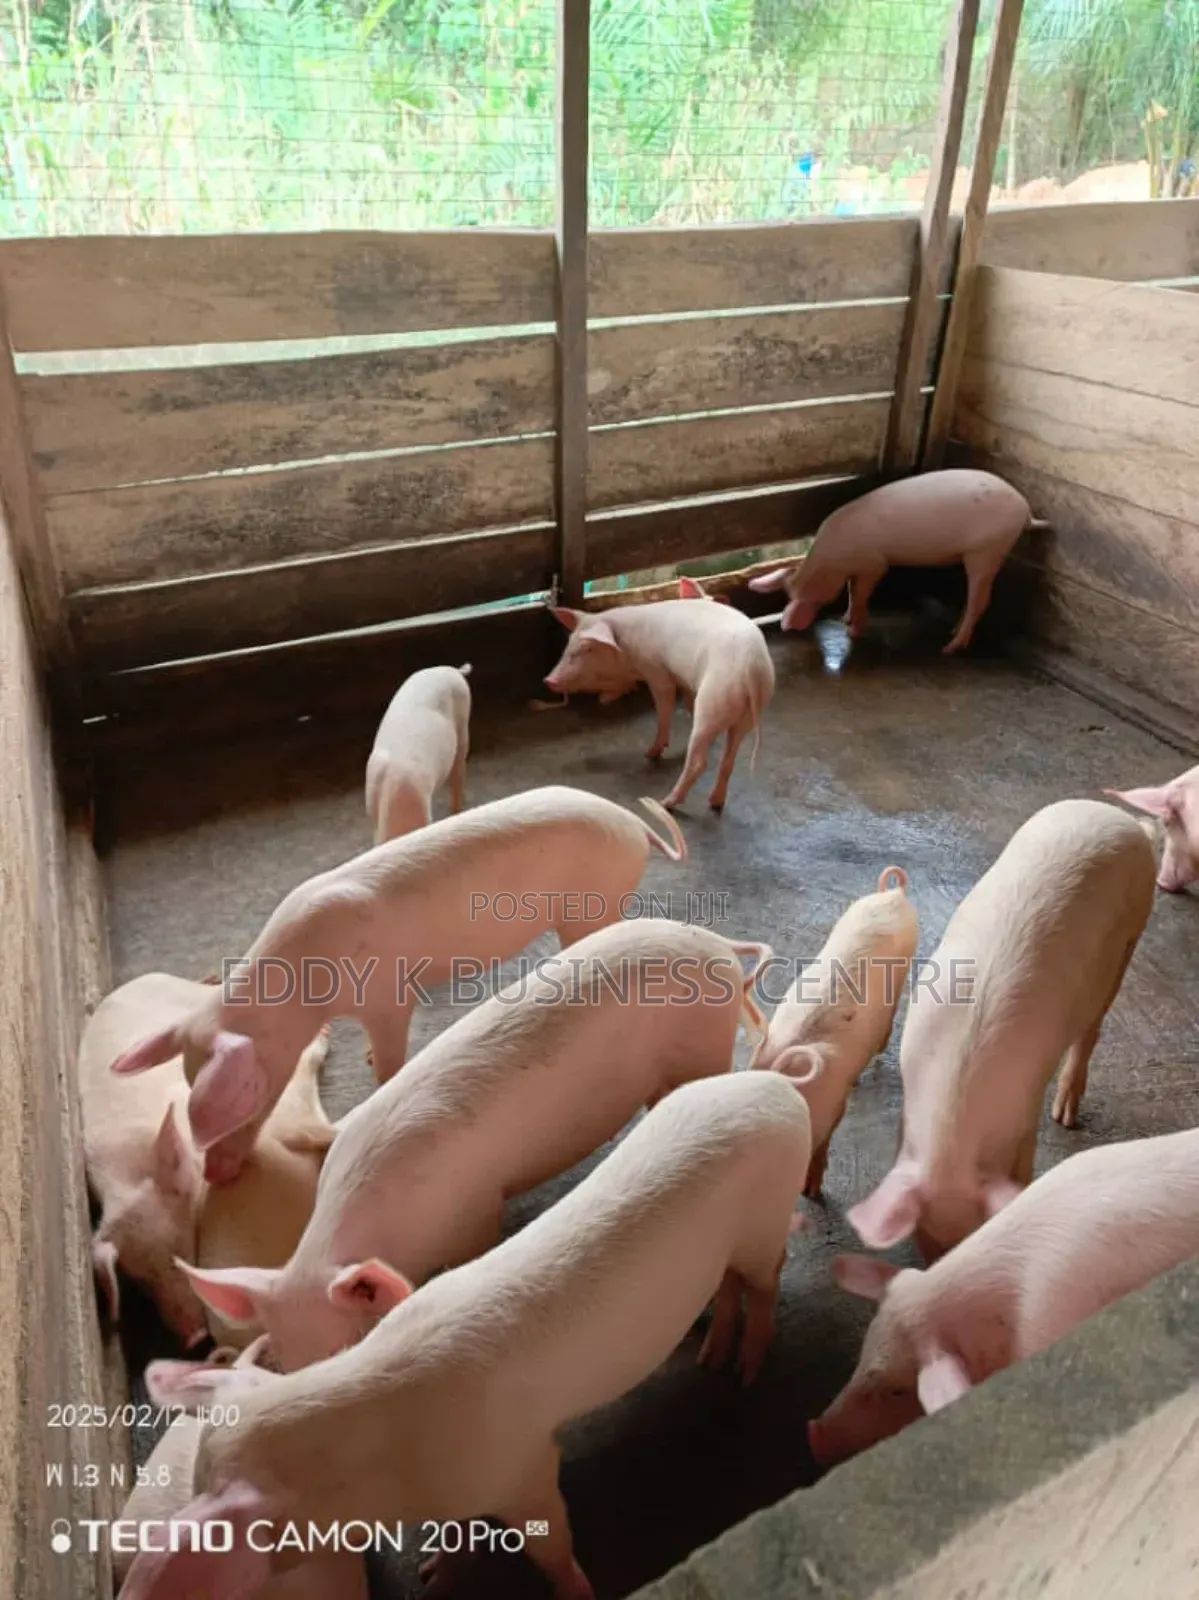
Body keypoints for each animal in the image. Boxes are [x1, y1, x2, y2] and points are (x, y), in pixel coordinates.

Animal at [110, 787, 686, 1187]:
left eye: (248, 1094)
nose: (215, 1174)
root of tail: (635, 826)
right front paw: (364, 1059)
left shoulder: (389, 997)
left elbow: (391, 1058)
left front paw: (380, 1073)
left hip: (595, 902)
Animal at [116, 1071, 811, 1600]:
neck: (386, 1457)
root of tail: (780, 1090)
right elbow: (456, 1532)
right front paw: (432, 1574)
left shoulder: (522, 1466)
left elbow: (552, 1541)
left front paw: (580, 1593)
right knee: (731, 1284)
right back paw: (714, 1358)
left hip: (766, 1220)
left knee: (767, 1282)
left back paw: (745, 1371)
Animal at [544, 600, 775, 812]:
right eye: (569, 643)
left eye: (588, 648)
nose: (548, 680)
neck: (629, 648)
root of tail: (751, 667)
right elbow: (687, 701)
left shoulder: (656, 671)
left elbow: (664, 706)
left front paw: (650, 754)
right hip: (748, 712)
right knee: (728, 758)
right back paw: (715, 803)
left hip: (714, 698)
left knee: (699, 761)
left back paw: (665, 802)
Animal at [747, 469, 1039, 654]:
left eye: (814, 601)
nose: (794, 625)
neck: (830, 560)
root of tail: (1026, 510)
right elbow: (851, 591)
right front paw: (844, 618)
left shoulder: (874, 564)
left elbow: (861, 594)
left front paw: (853, 632)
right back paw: (951, 632)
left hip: (988, 549)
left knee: (981, 600)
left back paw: (949, 648)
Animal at [849, 800, 1155, 1261]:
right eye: (926, 1242)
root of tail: (1120, 817)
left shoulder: (1027, 1102)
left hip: (1133, 929)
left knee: (1093, 1022)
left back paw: (1065, 1116)